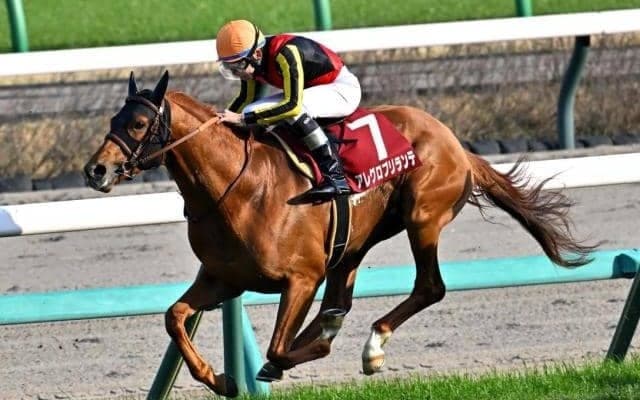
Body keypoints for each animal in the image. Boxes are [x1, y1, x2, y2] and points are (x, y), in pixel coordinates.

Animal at [84, 71, 595, 397]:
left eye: (138, 123)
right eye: (112, 122)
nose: (95, 170)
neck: (238, 187)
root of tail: (454, 141)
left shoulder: (300, 277)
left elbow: (279, 346)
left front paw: (295, 354)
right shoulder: (223, 277)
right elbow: (174, 316)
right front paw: (222, 379)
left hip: (423, 215)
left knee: (429, 286)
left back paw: (371, 347)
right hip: (354, 242)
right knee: (343, 297)